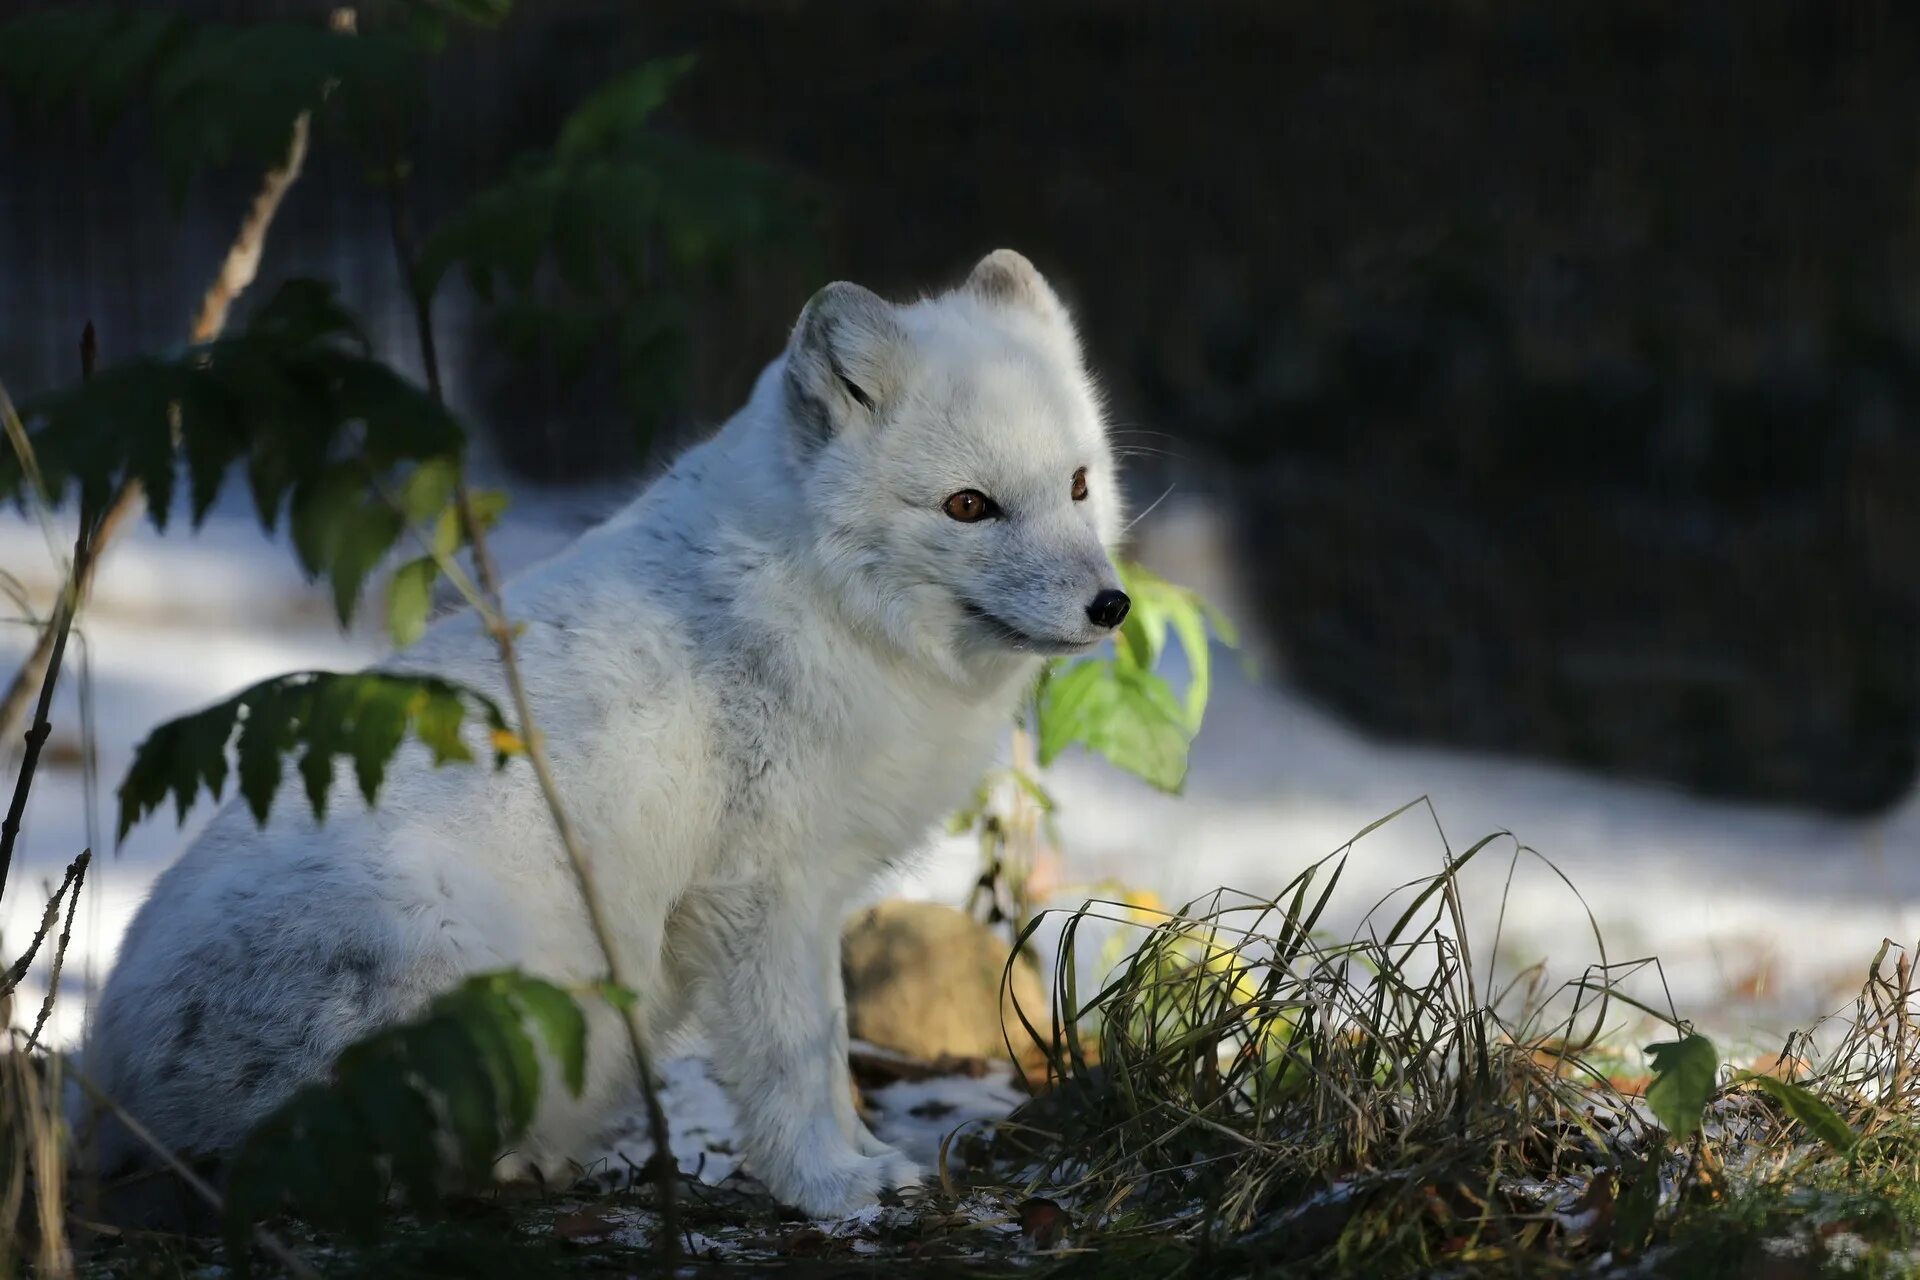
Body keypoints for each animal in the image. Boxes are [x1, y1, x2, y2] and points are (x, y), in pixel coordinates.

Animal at [78, 249, 1121, 1220]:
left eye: (1077, 485)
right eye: (968, 506)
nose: (1109, 606)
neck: (824, 604)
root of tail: (107, 1089)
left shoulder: (815, 898)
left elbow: (828, 1052)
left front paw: (863, 1162)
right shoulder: (760, 896)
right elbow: (794, 1059)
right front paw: (827, 1186)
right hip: (461, 949)